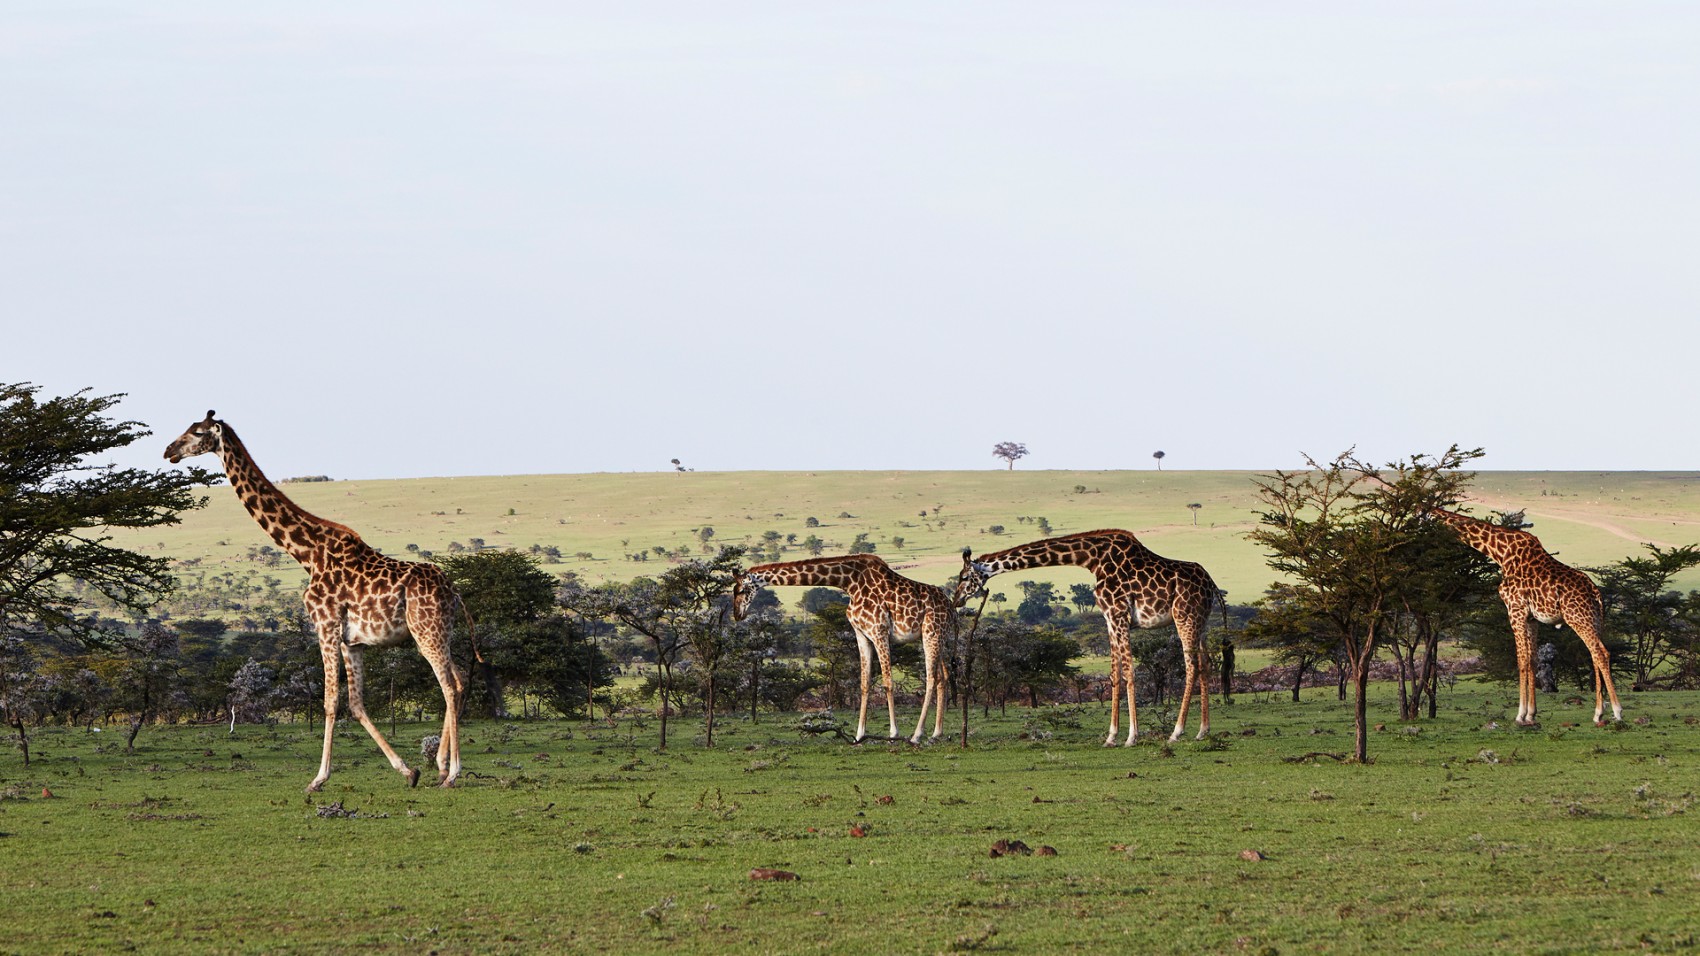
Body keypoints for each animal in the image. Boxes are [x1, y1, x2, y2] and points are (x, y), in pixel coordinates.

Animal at [163, 409, 469, 789]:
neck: (306, 553)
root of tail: (453, 590)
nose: (168, 451)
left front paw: (318, 778)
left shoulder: (324, 625)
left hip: (427, 631)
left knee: (449, 686)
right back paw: (440, 765)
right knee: (460, 679)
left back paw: (452, 772)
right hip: (438, 631)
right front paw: (408, 770)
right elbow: (355, 704)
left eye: (197, 432)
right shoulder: (352, 641)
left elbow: (330, 702)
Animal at [727, 551, 958, 745]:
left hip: (931, 634)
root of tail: (952, 608)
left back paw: (917, 735)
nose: (737, 615)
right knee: (943, 676)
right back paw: (936, 733)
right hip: (936, 637)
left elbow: (887, 682)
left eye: (741, 590)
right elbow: (864, 683)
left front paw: (893, 733)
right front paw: (859, 734)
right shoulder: (861, 634)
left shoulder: (879, 631)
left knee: (931, 678)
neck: (848, 582)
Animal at [958, 527, 1224, 745]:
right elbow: (1115, 674)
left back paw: (1176, 732)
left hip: (1184, 617)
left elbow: (1129, 672)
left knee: (1191, 666)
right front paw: (1111, 736)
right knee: (1205, 664)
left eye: (964, 577)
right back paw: (1202, 731)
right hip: (1201, 621)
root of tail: (1211, 583)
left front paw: (1132, 736)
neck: (1092, 559)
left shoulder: (1118, 613)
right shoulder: (1109, 618)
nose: (957, 599)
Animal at [1421, 506, 1618, 721]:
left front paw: (1520, 714)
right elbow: (1532, 660)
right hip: (1594, 620)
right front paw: (1531, 714)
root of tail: (1596, 592)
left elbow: (1521, 660)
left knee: (1601, 653)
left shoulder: (1515, 610)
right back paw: (1598, 713)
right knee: (1595, 655)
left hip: (1578, 619)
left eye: (1424, 518)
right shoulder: (1531, 618)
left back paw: (1615, 711)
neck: (1500, 552)